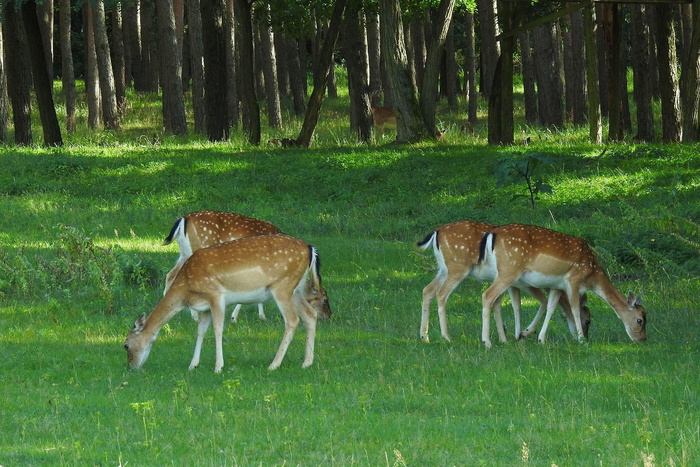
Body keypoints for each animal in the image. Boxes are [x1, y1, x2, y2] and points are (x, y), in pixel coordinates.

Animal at [125, 233, 330, 372]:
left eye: (126, 345)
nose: (131, 366)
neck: (186, 290)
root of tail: (311, 249)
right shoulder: (204, 306)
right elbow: (200, 330)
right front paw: (193, 365)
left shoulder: (215, 294)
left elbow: (217, 328)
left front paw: (218, 366)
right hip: (297, 288)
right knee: (310, 315)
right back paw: (306, 362)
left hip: (282, 286)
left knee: (292, 320)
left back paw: (274, 364)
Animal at [416, 221, 592, 346]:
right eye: (588, 320)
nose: (583, 335)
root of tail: (436, 232)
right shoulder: (523, 283)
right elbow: (539, 301)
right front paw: (520, 334)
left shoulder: (513, 284)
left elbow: (505, 304)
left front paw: (509, 337)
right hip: (457, 268)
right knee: (441, 293)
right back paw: (446, 337)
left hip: (443, 270)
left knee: (427, 290)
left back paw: (425, 336)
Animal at [478, 223, 648, 348]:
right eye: (640, 320)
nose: (642, 340)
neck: (592, 274)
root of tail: (492, 234)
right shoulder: (573, 280)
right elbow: (575, 309)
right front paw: (582, 340)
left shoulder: (557, 286)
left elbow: (551, 308)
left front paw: (540, 339)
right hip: (510, 269)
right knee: (487, 295)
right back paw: (487, 342)